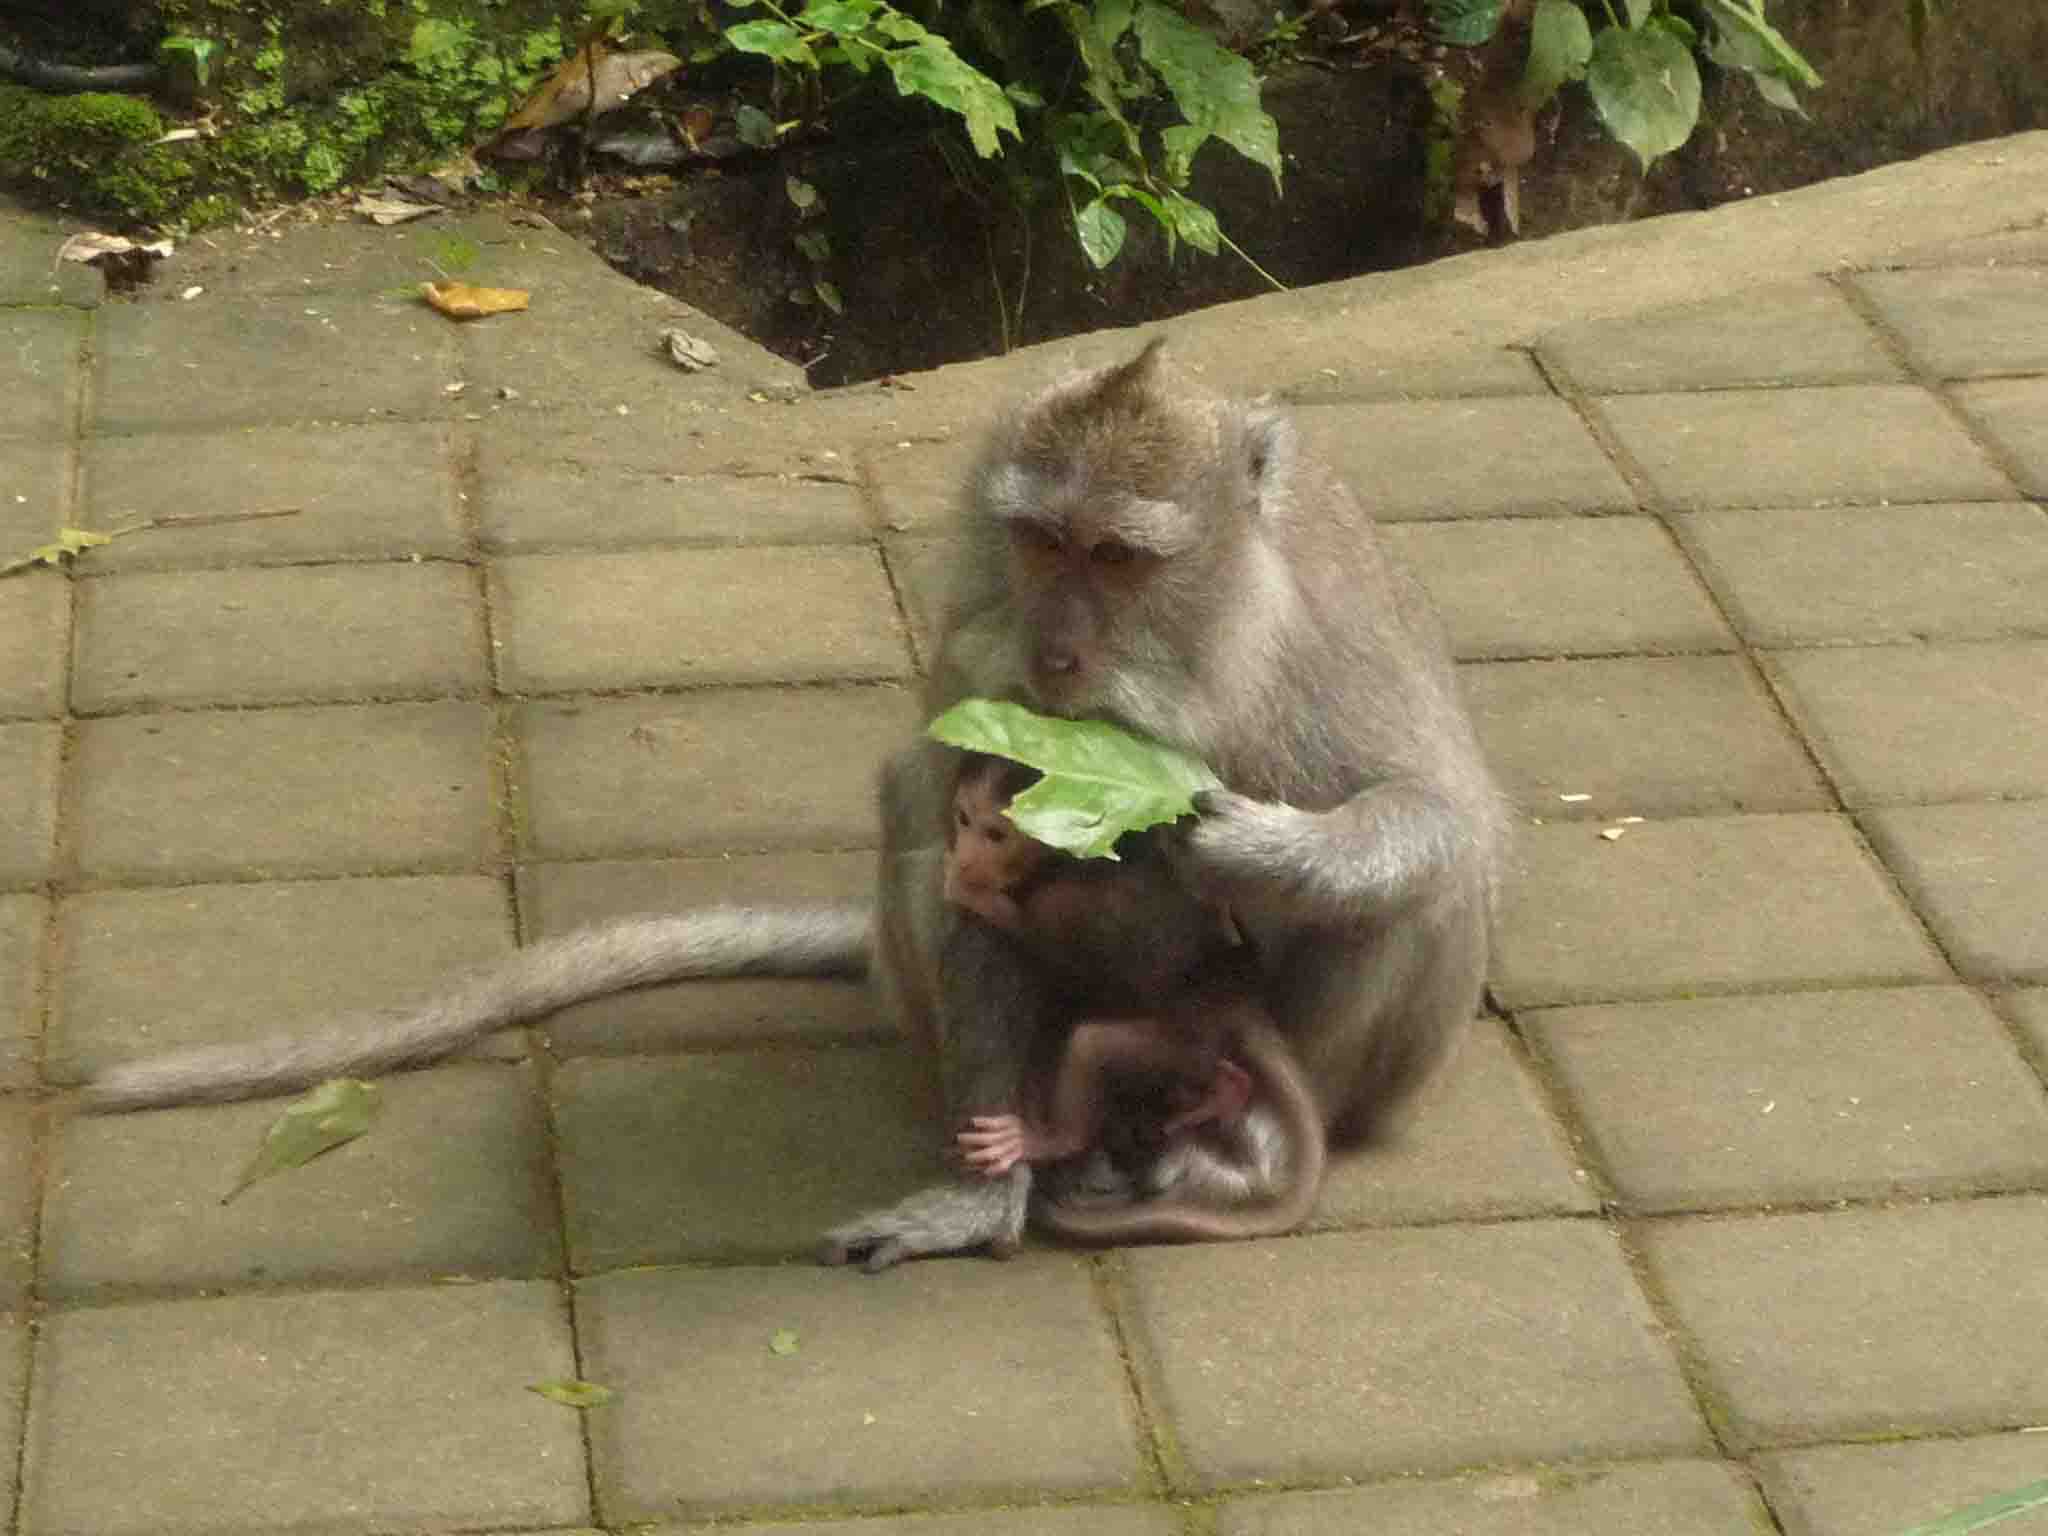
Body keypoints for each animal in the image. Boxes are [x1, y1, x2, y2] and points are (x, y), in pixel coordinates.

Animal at [80, 339, 1504, 1275]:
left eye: (1116, 557)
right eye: (1041, 543)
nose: (1055, 656)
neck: (1193, 656)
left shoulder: (1321, 642)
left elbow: (1445, 820)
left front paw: (1234, 841)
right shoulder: (972, 650)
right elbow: (941, 820)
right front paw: (980, 1196)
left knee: (1412, 912)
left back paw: (1233, 1139)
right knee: (917, 850)